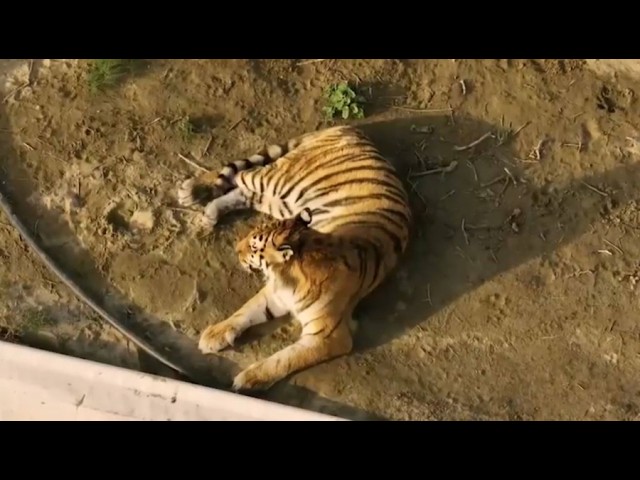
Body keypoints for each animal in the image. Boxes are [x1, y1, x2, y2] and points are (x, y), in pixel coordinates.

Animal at [177, 125, 412, 392]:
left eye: (254, 246)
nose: (236, 249)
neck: (290, 279)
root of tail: (350, 129)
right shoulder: (275, 293)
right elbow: (245, 311)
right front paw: (214, 334)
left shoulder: (328, 336)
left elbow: (283, 359)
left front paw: (248, 380)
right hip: (282, 185)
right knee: (240, 174)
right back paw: (191, 192)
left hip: (281, 200)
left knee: (243, 185)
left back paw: (208, 211)